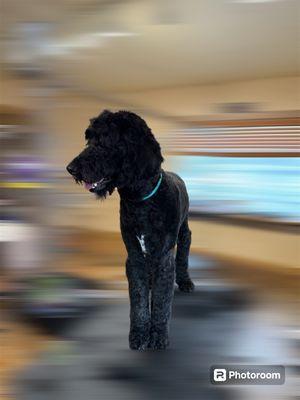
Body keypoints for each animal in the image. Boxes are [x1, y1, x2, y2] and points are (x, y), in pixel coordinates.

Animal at [67, 110, 195, 350]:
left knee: (183, 256)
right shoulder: (134, 255)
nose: (70, 168)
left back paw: (185, 281)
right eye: (89, 139)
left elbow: (162, 301)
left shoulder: (164, 256)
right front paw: (138, 335)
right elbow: (138, 299)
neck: (142, 201)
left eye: (105, 141)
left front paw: (158, 336)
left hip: (184, 233)